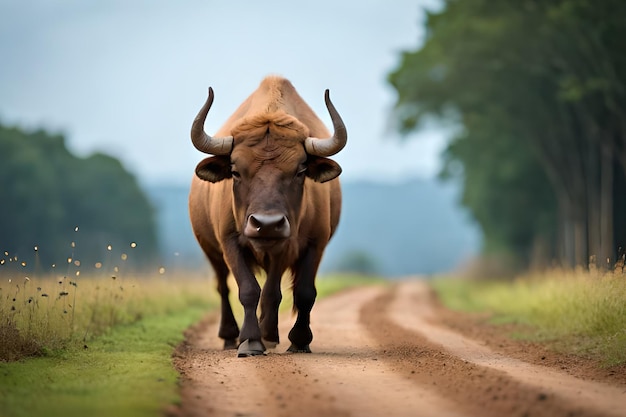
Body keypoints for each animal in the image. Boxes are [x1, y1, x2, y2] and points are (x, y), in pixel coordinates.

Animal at [188, 76, 348, 356]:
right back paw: (229, 336)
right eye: (236, 171)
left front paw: (297, 339)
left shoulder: (311, 243)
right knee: (222, 286)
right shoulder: (229, 241)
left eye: (300, 171)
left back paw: (269, 334)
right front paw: (250, 341)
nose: (267, 224)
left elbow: (299, 292)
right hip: (211, 250)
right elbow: (248, 290)